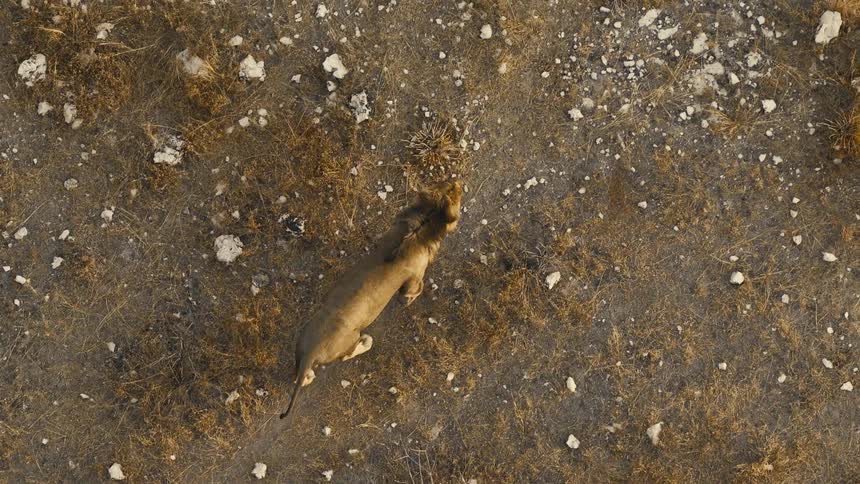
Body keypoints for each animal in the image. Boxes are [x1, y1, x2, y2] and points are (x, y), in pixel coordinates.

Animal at [280, 180, 463, 420]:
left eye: (447, 184)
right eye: (456, 194)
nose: (459, 182)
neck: (423, 223)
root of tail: (311, 352)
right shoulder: (414, 276)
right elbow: (415, 290)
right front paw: (410, 300)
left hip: (300, 344)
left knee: (300, 375)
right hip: (348, 340)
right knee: (348, 354)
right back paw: (366, 342)